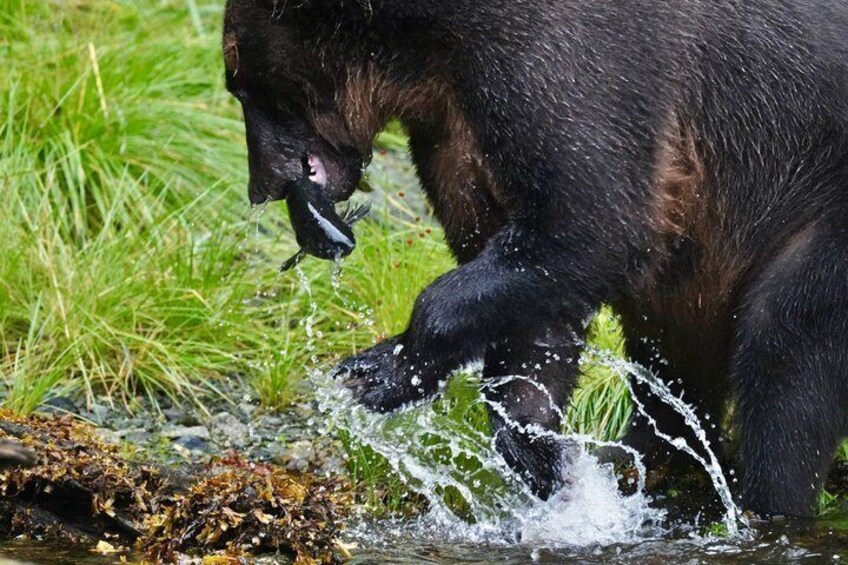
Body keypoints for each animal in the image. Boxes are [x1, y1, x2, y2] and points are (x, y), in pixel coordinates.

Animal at [222, 0, 848, 517]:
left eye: (240, 84)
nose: (260, 186)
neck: (424, 53)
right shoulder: (454, 127)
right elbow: (529, 296)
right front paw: (541, 456)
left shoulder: (564, 66)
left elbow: (590, 223)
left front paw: (381, 368)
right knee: (672, 354)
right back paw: (647, 457)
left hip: (811, 196)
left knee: (785, 353)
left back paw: (768, 505)